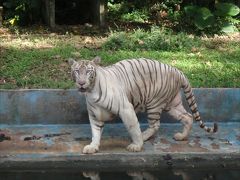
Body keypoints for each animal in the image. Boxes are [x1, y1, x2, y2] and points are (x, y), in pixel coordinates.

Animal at [68, 56, 217, 153]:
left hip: (155, 103)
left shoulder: (126, 109)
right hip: (172, 104)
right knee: (187, 117)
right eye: (77, 71)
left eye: (88, 71)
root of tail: (177, 71)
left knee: (155, 124)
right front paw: (92, 147)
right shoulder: (95, 115)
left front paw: (137, 146)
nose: (81, 83)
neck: (91, 92)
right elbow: (95, 132)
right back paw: (181, 136)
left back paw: (143, 136)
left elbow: (133, 127)